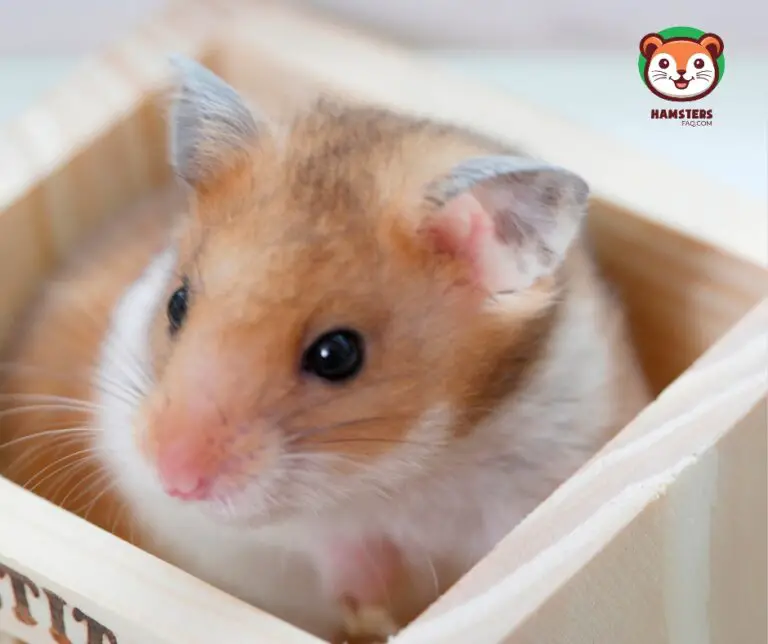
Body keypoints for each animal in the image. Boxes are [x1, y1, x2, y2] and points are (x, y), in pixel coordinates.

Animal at [0, 58, 650, 642]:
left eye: (337, 354)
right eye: (176, 303)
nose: (175, 479)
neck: (408, 468)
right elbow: (311, 535)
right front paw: (368, 595)